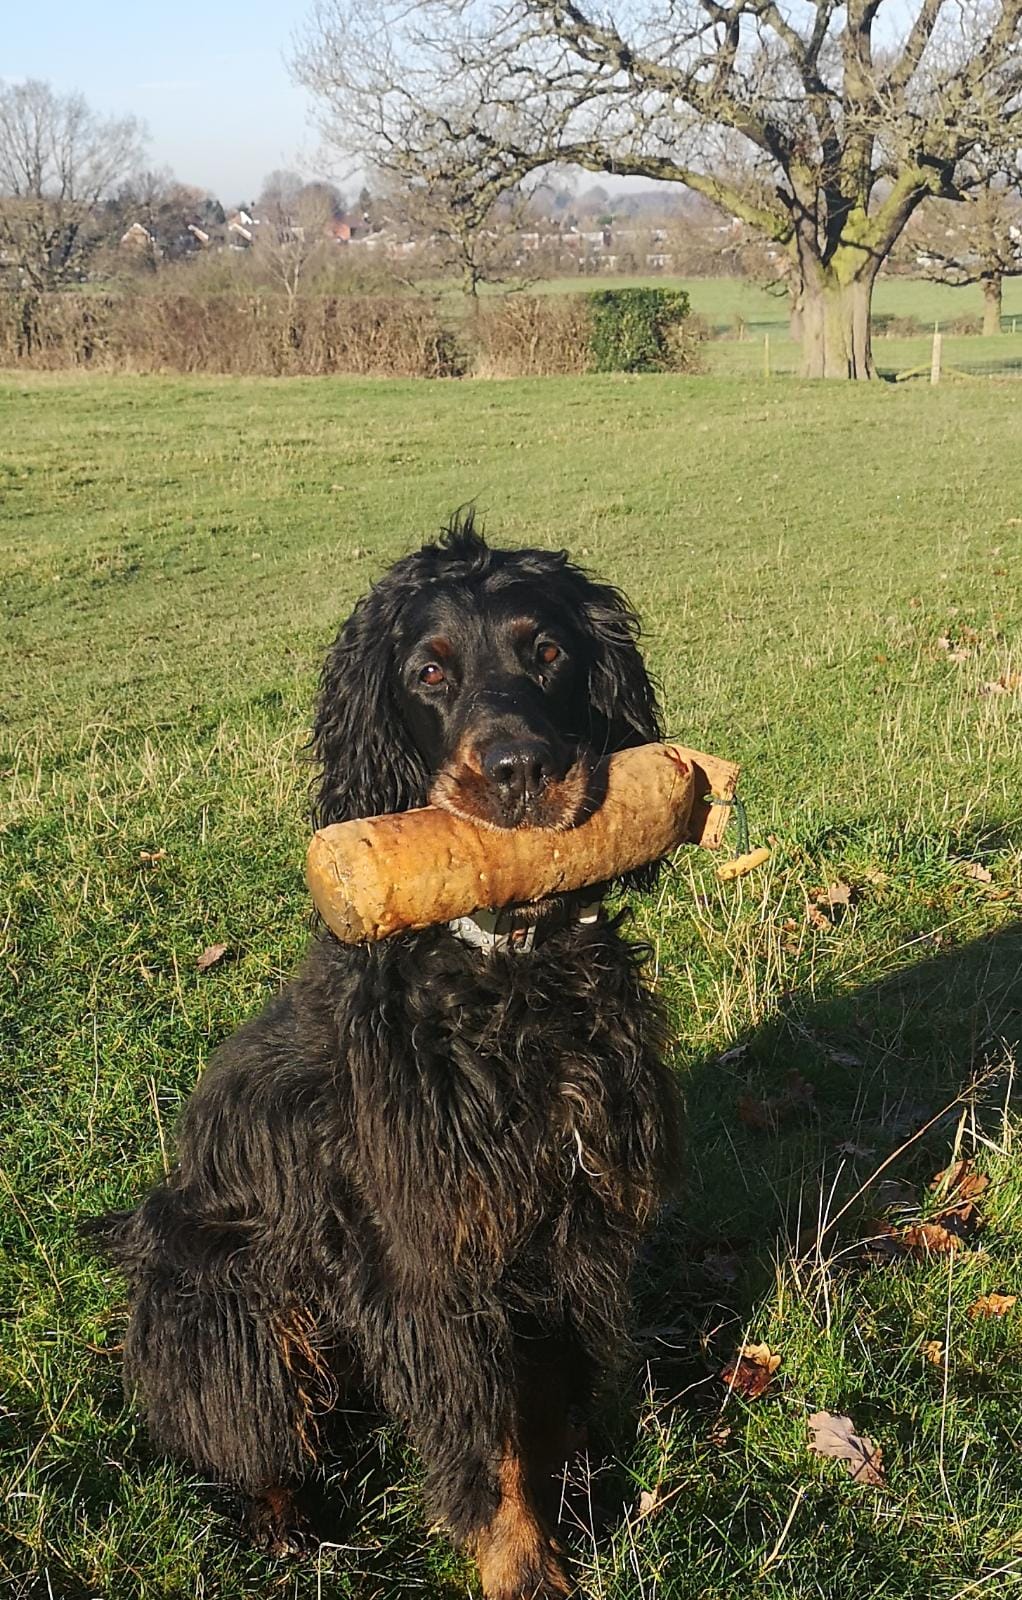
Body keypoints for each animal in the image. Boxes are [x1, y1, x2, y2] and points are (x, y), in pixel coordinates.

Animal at [91, 512, 684, 1600]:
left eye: (548, 651)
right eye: (429, 671)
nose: (518, 771)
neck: (503, 976)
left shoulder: (568, 1234)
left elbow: (550, 1411)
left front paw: (576, 1518)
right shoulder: (427, 1259)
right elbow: (485, 1449)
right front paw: (522, 1568)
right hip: (222, 1297)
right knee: (242, 1434)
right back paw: (285, 1521)